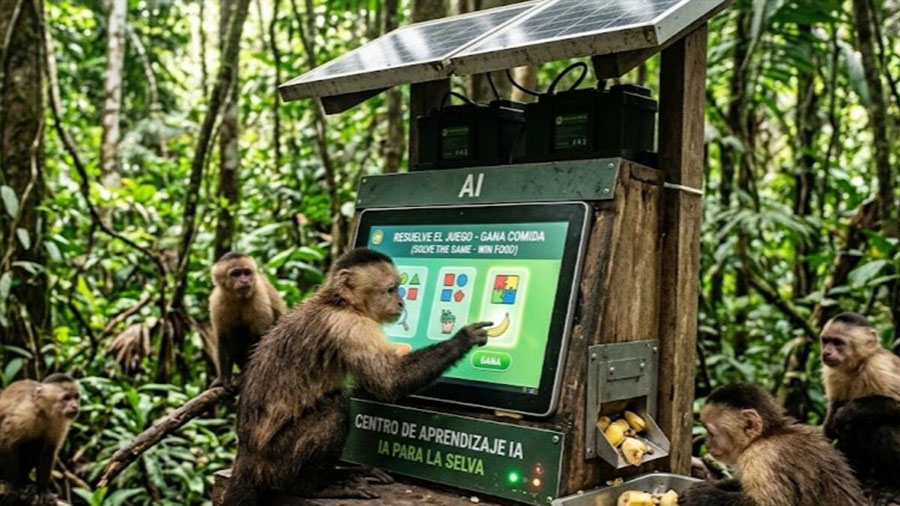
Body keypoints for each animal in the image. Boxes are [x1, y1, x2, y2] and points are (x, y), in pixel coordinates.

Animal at [0, 374, 80, 506]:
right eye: (66, 398)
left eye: (76, 397)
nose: (75, 406)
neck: (44, 412)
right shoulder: (25, 413)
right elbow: (6, 441)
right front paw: (12, 485)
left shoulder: (59, 422)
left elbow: (48, 450)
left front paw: (42, 489)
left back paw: (26, 482)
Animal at [209, 252, 287, 385]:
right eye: (235, 274)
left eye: (246, 272)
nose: (244, 280)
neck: (237, 298)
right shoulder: (218, 301)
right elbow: (223, 336)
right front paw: (224, 378)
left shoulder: (258, 295)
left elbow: (261, 334)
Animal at [221, 248, 492, 506]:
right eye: (391, 289)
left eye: (399, 289)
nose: (402, 303)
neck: (340, 303)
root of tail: (246, 457)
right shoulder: (351, 327)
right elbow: (389, 381)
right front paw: (462, 339)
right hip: (275, 462)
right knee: (335, 407)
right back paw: (314, 488)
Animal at [681, 383, 866, 506]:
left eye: (709, 431)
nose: (706, 444)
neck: (767, 436)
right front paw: (712, 484)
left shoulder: (763, 457)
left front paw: (700, 494)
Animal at [819, 312, 900, 503]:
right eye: (826, 341)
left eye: (837, 342)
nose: (826, 352)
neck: (858, 366)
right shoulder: (832, 372)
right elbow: (832, 413)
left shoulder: (880, 367)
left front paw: (850, 410)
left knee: (881, 426)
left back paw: (891, 486)